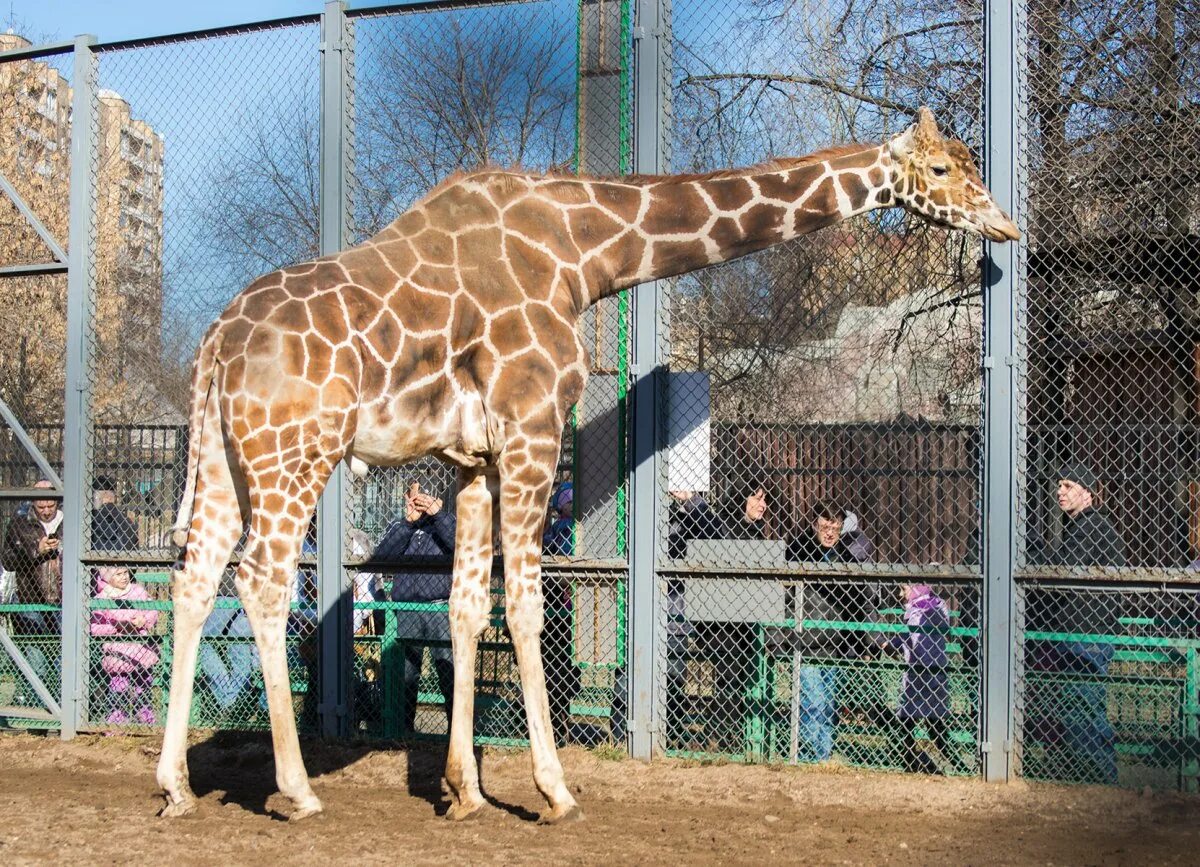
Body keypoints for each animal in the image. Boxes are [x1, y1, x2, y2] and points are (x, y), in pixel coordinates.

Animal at [154, 104, 1017, 821]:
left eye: (971, 160)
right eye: (942, 169)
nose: (1005, 226)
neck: (585, 253)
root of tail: (216, 344)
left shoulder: (473, 458)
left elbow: (467, 608)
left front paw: (464, 791)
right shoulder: (534, 429)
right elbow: (526, 608)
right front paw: (554, 789)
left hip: (227, 459)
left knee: (195, 579)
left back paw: (175, 785)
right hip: (297, 451)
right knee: (260, 579)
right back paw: (297, 790)